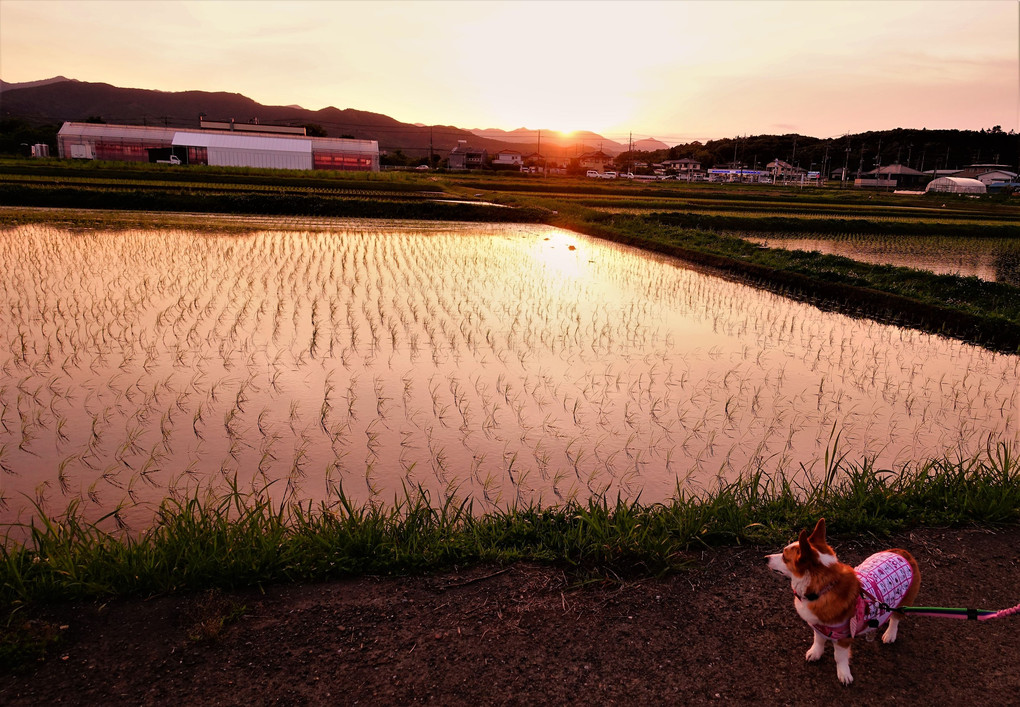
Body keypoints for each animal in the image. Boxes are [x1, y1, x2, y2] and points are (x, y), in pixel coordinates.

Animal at [767, 518, 926, 685]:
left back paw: (890, 634)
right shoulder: (819, 626)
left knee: (895, 618)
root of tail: (903, 552)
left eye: (784, 557)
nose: (765, 558)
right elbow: (818, 640)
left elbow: (839, 657)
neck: (823, 589)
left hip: (904, 601)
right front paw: (815, 653)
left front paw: (844, 673)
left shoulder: (844, 637)